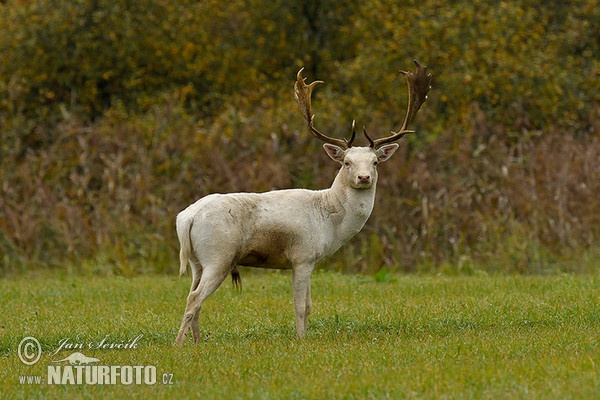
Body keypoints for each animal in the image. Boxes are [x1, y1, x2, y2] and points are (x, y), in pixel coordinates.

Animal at [173, 59, 432, 344]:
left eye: (375, 162)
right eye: (346, 162)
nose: (363, 177)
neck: (330, 222)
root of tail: (186, 218)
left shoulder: (311, 260)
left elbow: (309, 306)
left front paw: (304, 337)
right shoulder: (302, 256)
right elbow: (299, 306)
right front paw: (300, 340)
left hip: (197, 260)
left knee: (194, 297)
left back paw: (196, 343)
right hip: (218, 254)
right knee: (194, 298)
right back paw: (178, 344)